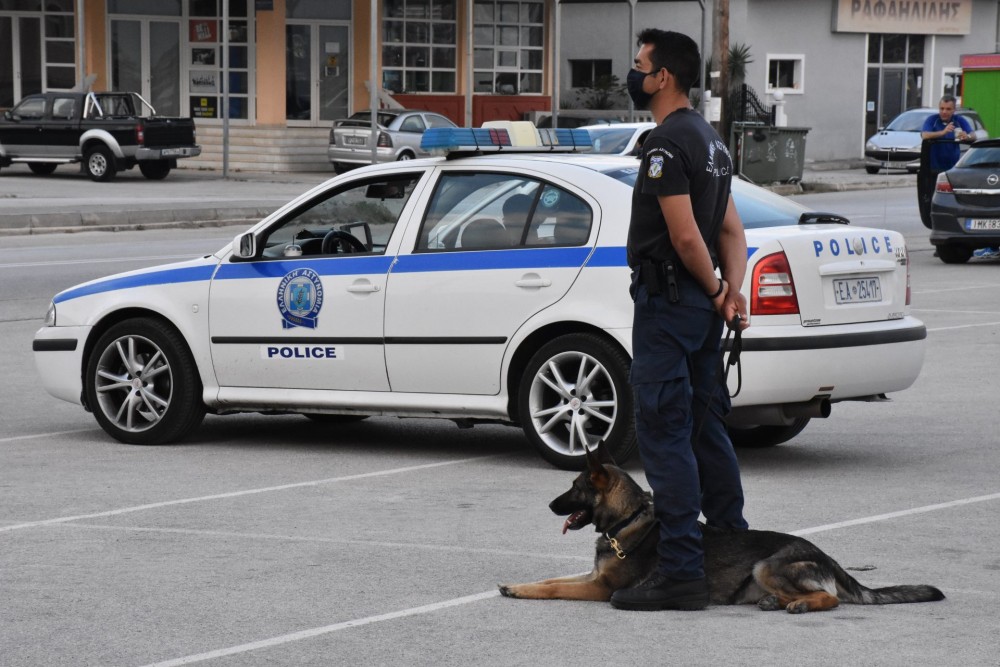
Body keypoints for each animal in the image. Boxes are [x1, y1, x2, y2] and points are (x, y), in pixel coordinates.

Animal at [500, 446, 944, 612]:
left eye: (574, 488)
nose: (551, 505)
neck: (629, 519)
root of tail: (827, 557)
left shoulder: (600, 588)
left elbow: (555, 588)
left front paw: (522, 591)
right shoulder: (591, 577)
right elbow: (549, 579)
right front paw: (517, 585)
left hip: (767, 564)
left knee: (830, 598)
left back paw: (800, 604)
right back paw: (775, 602)